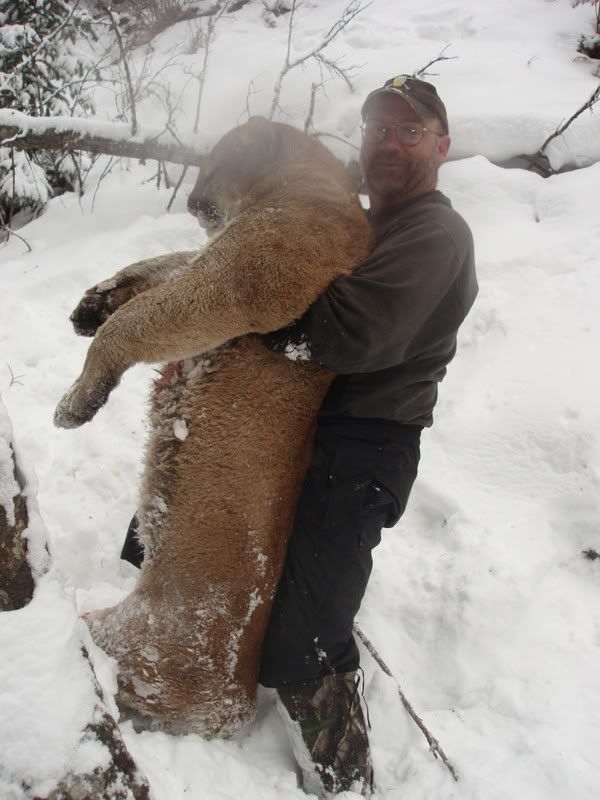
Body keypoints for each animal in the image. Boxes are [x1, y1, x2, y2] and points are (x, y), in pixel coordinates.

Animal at [54, 116, 371, 737]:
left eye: (216, 155)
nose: (193, 198)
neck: (311, 183)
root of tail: (236, 703)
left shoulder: (239, 284)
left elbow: (136, 321)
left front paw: (80, 398)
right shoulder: (212, 263)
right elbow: (162, 266)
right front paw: (96, 302)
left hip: (122, 641)